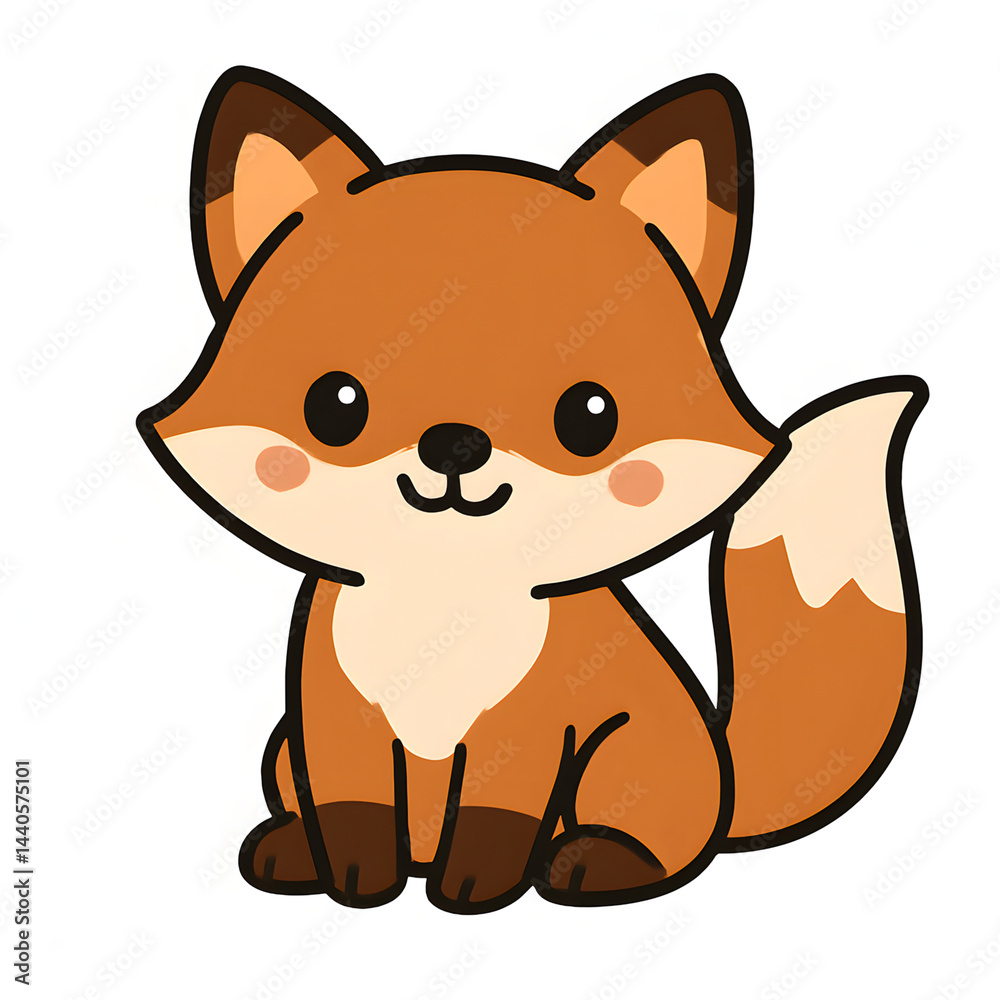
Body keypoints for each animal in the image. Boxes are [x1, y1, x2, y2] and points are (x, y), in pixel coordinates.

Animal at [137, 66, 928, 913]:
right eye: (336, 406)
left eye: (589, 416)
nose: (455, 443)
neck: (442, 603)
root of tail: (725, 776)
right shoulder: (330, 714)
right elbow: (354, 809)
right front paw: (354, 880)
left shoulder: (532, 728)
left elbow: (497, 815)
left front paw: (475, 888)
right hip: (286, 745)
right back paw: (295, 849)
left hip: (629, 750)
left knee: (662, 844)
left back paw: (595, 860)